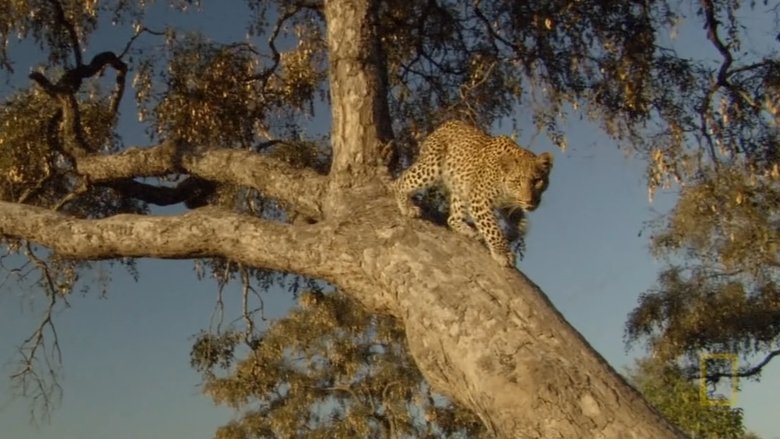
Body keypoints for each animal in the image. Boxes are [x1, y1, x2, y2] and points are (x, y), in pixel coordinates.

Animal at [393, 120, 553, 267]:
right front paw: (502, 253)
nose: (530, 201)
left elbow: (523, 226)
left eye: (537, 181)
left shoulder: (508, 203)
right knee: (402, 180)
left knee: (452, 219)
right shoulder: (480, 200)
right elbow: (492, 229)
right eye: (517, 181)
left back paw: (467, 230)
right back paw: (407, 207)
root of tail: (446, 124)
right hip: (432, 166)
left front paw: (511, 235)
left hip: (461, 188)